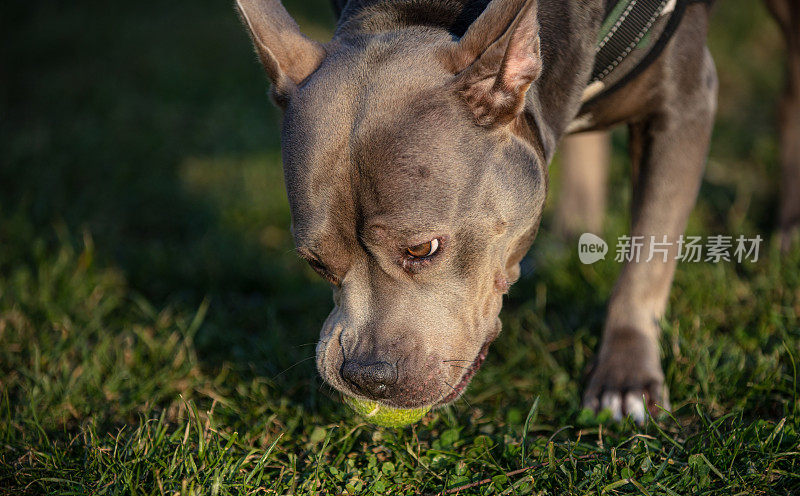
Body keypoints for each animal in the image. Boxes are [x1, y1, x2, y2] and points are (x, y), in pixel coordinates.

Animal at [234, 0, 796, 422]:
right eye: (315, 263)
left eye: (423, 248)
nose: (365, 375)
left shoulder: (683, 102)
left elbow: (647, 261)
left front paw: (625, 377)